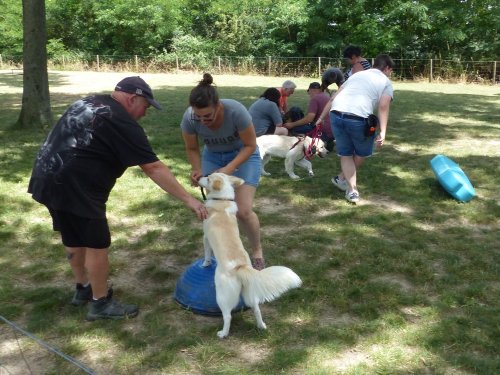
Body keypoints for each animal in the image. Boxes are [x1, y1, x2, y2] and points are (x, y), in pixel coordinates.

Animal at [198, 175, 300, 340]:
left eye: (207, 178)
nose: (199, 176)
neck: (222, 200)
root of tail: (241, 267)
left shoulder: (205, 237)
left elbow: (207, 253)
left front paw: (205, 264)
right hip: (250, 294)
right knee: (257, 310)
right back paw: (261, 326)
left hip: (222, 295)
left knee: (228, 316)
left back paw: (223, 333)